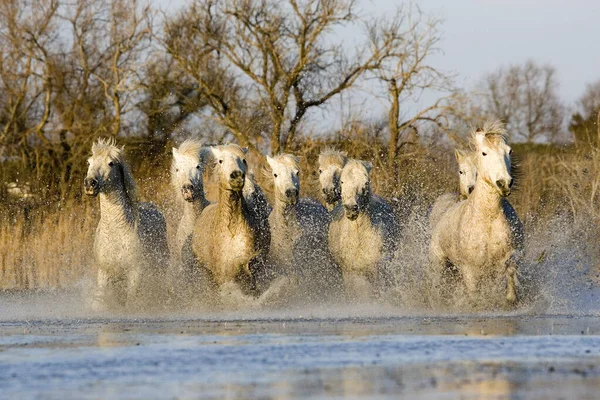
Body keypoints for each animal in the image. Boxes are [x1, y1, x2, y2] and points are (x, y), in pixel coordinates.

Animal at [84, 138, 170, 310]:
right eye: (89, 162)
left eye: (110, 163)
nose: (90, 184)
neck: (116, 231)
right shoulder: (104, 273)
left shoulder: (135, 273)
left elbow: (130, 305)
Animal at [328, 158, 398, 296]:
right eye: (342, 181)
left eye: (365, 182)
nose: (351, 208)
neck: (359, 237)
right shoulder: (349, 272)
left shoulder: (376, 270)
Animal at [428, 120, 524, 304]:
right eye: (484, 153)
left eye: (509, 151)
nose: (504, 183)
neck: (488, 218)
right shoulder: (470, 271)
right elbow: (474, 297)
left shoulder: (512, 256)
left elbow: (510, 278)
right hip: (439, 262)